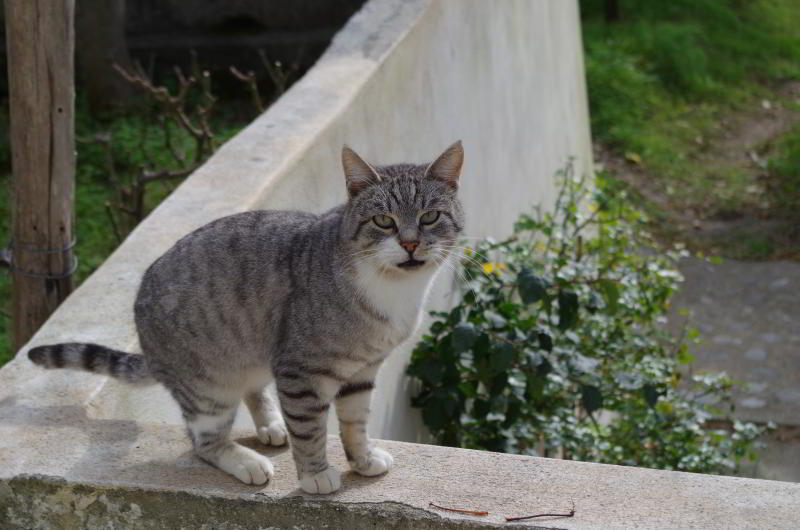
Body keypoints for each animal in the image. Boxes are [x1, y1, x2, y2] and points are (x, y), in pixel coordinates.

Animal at [28, 139, 466, 490]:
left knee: (254, 388)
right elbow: (310, 428)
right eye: (383, 221)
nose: (410, 244)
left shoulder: (362, 372)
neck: (393, 289)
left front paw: (363, 459)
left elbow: (355, 421)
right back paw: (245, 460)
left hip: (250, 350)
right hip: (209, 386)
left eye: (429, 217)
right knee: (204, 442)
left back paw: (271, 423)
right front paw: (315, 476)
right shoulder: (300, 370)